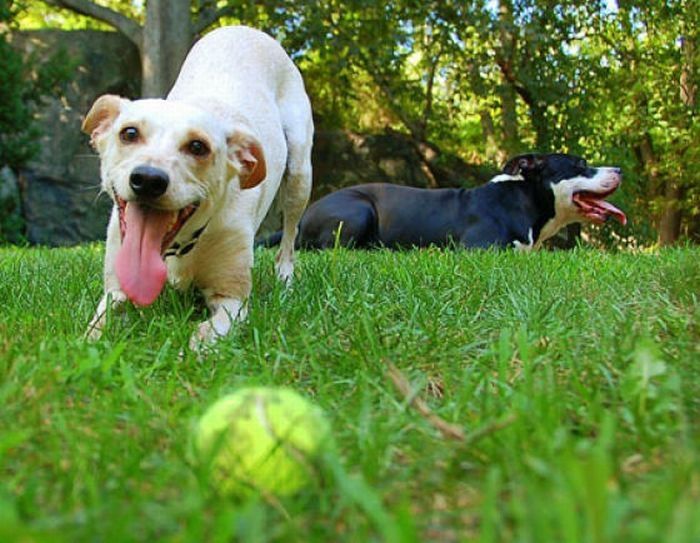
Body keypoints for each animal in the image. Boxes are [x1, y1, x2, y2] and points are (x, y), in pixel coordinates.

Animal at [83, 25, 314, 346]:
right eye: (129, 133)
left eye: (197, 146)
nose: (149, 179)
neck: (176, 249)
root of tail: (245, 29)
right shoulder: (115, 290)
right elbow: (94, 329)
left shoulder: (232, 299)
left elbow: (204, 334)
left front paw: (190, 350)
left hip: (299, 176)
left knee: (289, 238)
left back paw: (285, 277)